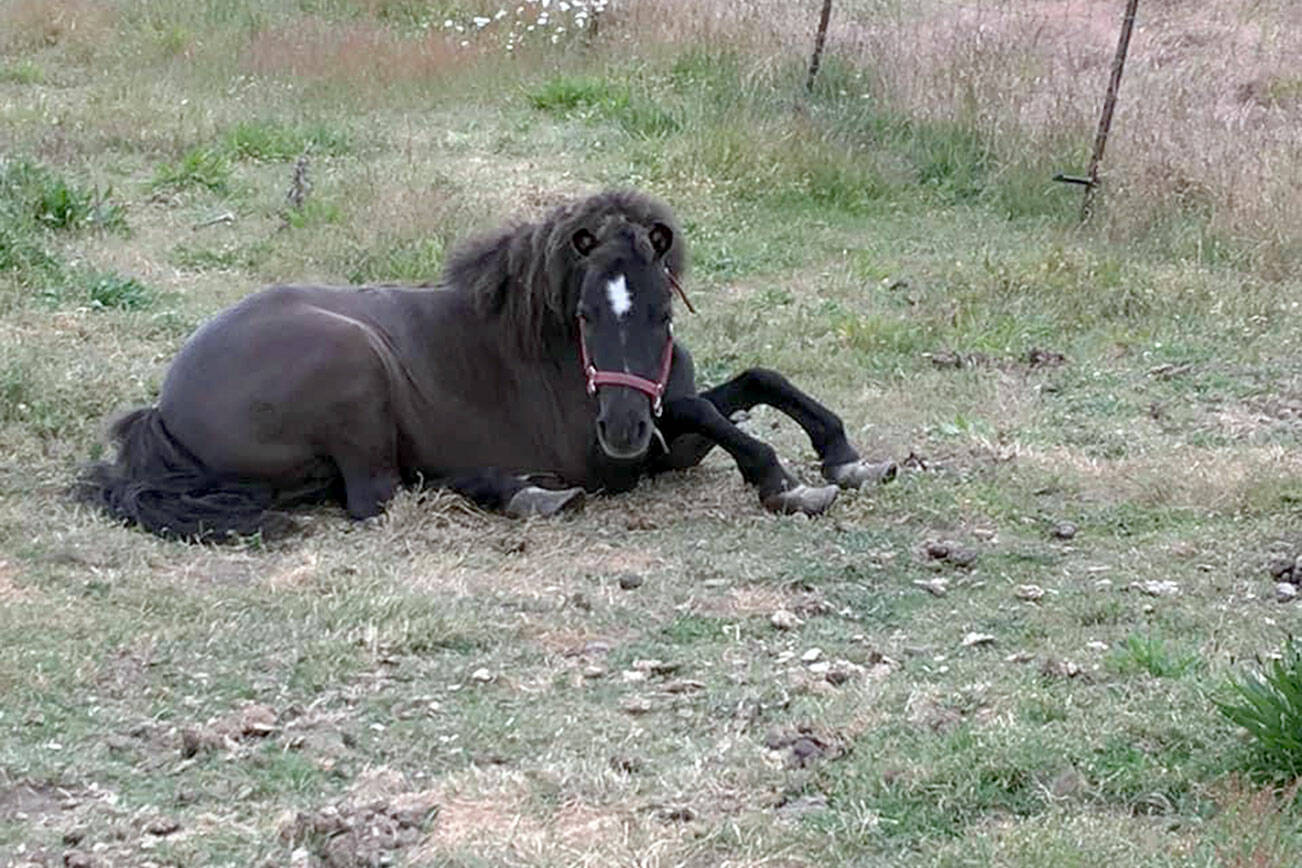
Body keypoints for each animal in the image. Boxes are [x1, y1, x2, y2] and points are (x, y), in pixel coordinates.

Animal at [78, 190, 895, 540]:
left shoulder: (668, 443)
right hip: (355, 364)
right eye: (586, 314)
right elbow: (711, 410)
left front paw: (844, 455)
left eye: (663, 312)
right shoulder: (619, 455)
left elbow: (753, 383)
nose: (623, 430)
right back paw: (525, 492)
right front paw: (784, 482)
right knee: (377, 496)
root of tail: (164, 408)